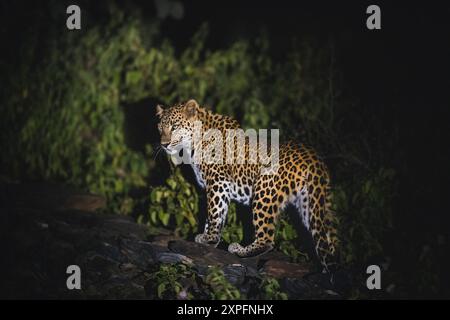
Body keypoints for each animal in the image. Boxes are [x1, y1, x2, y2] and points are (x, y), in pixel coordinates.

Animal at [156, 99, 340, 272]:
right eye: (160, 128)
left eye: (174, 126)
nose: (164, 144)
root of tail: (313, 159)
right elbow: (213, 214)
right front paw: (207, 236)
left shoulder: (218, 181)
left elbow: (214, 211)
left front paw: (210, 239)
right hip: (312, 204)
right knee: (329, 242)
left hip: (264, 189)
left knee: (267, 239)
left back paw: (239, 249)